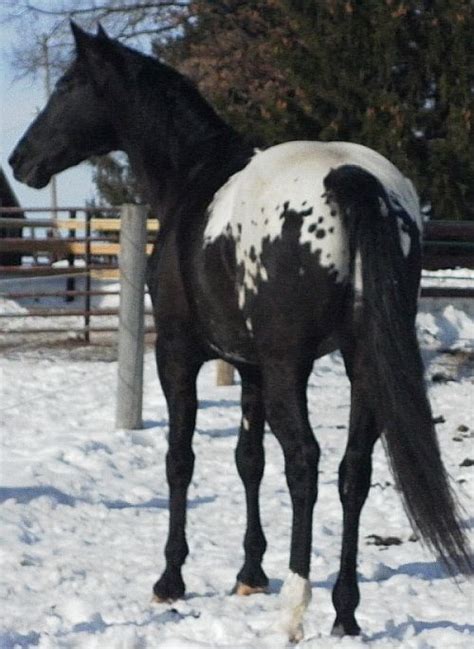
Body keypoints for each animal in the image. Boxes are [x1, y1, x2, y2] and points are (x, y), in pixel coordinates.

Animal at [8, 21, 470, 644]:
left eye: (66, 86)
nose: (19, 160)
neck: (193, 176)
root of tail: (351, 178)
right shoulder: (248, 366)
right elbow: (249, 459)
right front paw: (250, 573)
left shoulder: (179, 355)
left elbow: (181, 458)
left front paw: (170, 579)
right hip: (360, 363)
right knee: (353, 469)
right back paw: (344, 612)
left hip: (288, 368)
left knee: (305, 463)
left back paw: (296, 609)